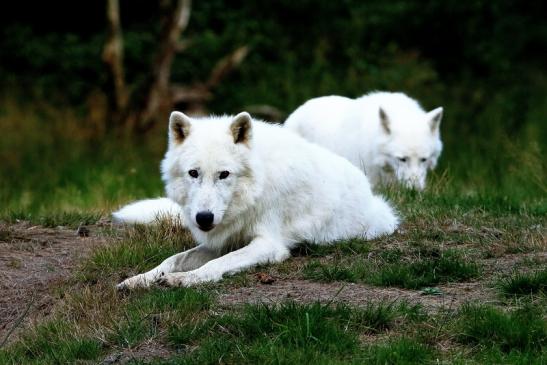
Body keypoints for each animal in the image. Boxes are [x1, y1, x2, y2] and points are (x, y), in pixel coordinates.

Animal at [114, 111, 398, 288]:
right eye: (193, 173)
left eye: (224, 174)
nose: (203, 218)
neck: (254, 190)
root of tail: (372, 195)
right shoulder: (222, 240)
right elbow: (172, 260)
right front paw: (140, 279)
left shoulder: (269, 244)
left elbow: (219, 263)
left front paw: (185, 279)